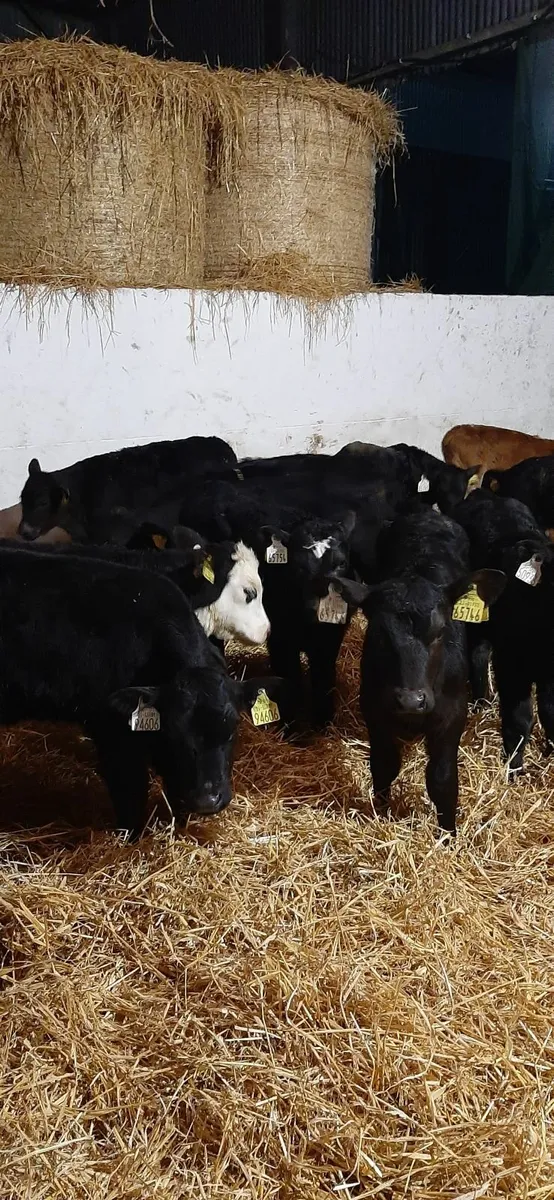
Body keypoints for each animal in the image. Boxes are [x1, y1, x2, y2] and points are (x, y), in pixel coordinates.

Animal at [0, 547, 280, 838]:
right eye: (248, 593)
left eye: (232, 728)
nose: (207, 800)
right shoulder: (111, 730)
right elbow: (130, 791)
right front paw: (131, 837)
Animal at [331, 508, 505, 833]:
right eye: (380, 634)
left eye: (440, 632)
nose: (411, 700)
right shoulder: (374, 709)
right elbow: (384, 766)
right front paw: (382, 814)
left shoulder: (452, 714)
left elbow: (442, 780)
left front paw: (448, 834)